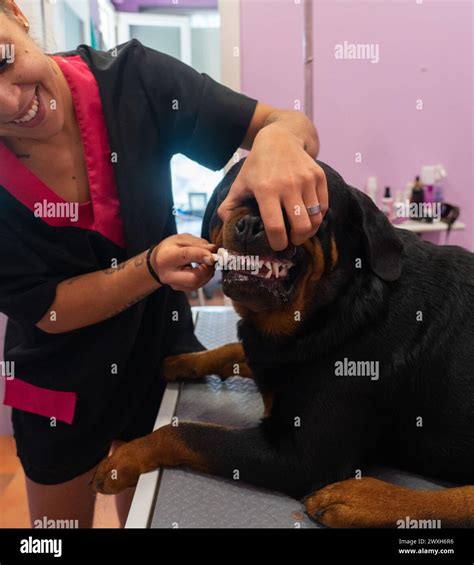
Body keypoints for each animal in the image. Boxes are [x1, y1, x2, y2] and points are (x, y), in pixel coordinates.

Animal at [92, 159, 474, 528]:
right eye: (231, 194)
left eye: (301, 206)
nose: (250, 224)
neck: (329, 309)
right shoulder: (271, 359)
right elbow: (234, 350)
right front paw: (183, 361)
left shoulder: (301, 458)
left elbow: (185, 433)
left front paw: (125, 458)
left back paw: (359, 500)